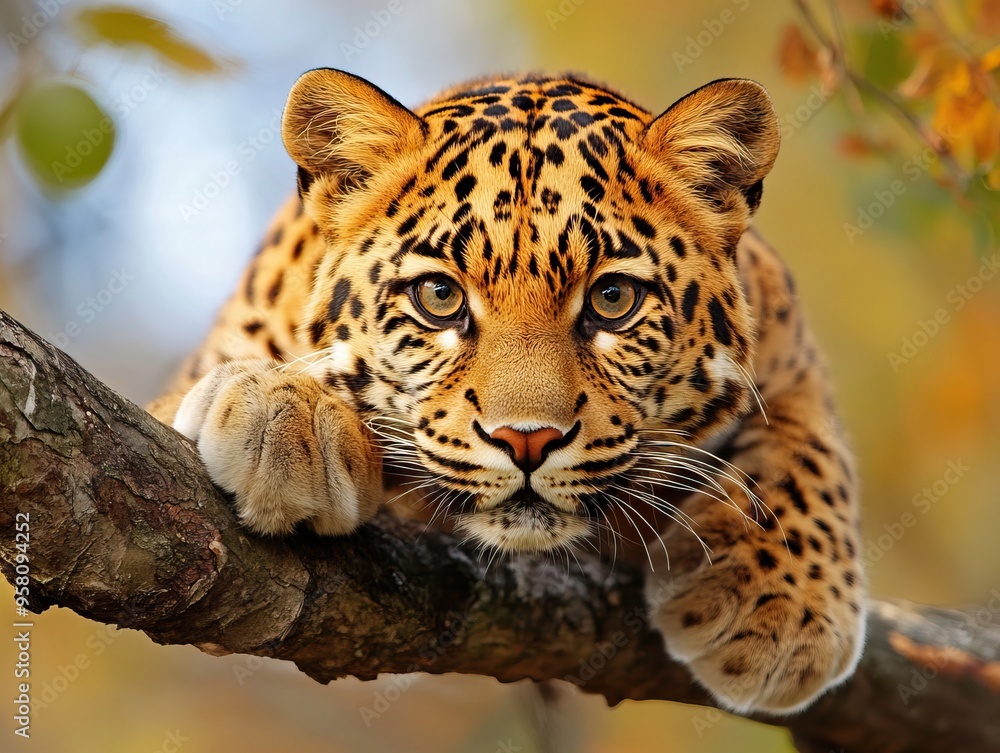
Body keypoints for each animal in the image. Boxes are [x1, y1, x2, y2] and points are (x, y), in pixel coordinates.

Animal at [148, 69, 866, 715]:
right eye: (439, 296)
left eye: (613, 298)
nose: (528, 441)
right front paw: (285, 409)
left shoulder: (791, 345)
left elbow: (808, 448)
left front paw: (783, 606)